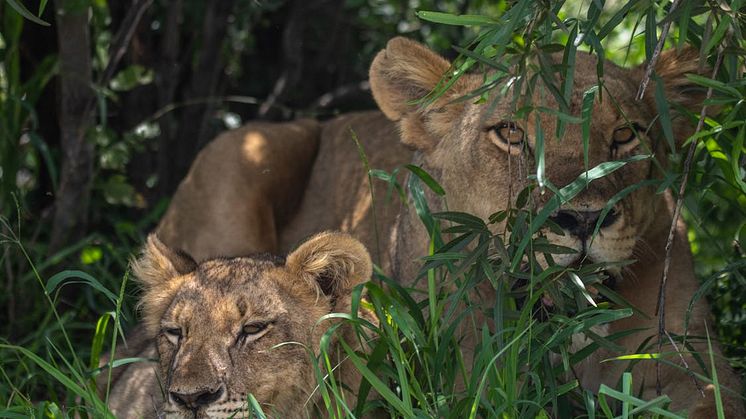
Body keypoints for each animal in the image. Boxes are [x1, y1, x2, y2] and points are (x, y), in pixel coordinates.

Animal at [145, 38, 740, 416]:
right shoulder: (457, 372)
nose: (585, 220)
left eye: (624, 136)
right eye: (510, 133)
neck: (559, 313)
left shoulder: (684, 359)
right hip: (242, 155)